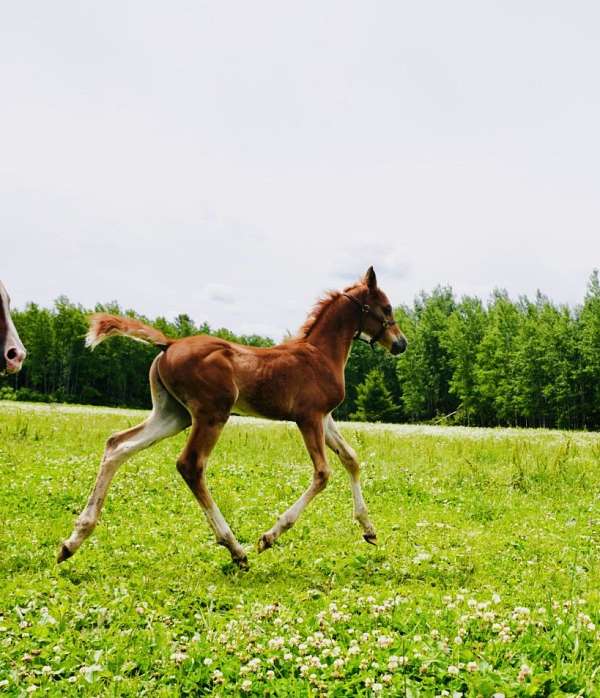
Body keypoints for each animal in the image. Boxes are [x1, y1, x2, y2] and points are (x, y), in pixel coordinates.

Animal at [58, 267, 407, 568]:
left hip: (173, 415)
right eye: (386, 308)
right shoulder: (308, 417)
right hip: (212, 413)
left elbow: (351, 458)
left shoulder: (325, 417)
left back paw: (73, 540)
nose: (401, 343)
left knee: (118, 445)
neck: (321, 354)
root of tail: (169, 343)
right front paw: (268, 537)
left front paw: (368, 529)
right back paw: (235, 548)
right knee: (190, 465)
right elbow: (322, 474)